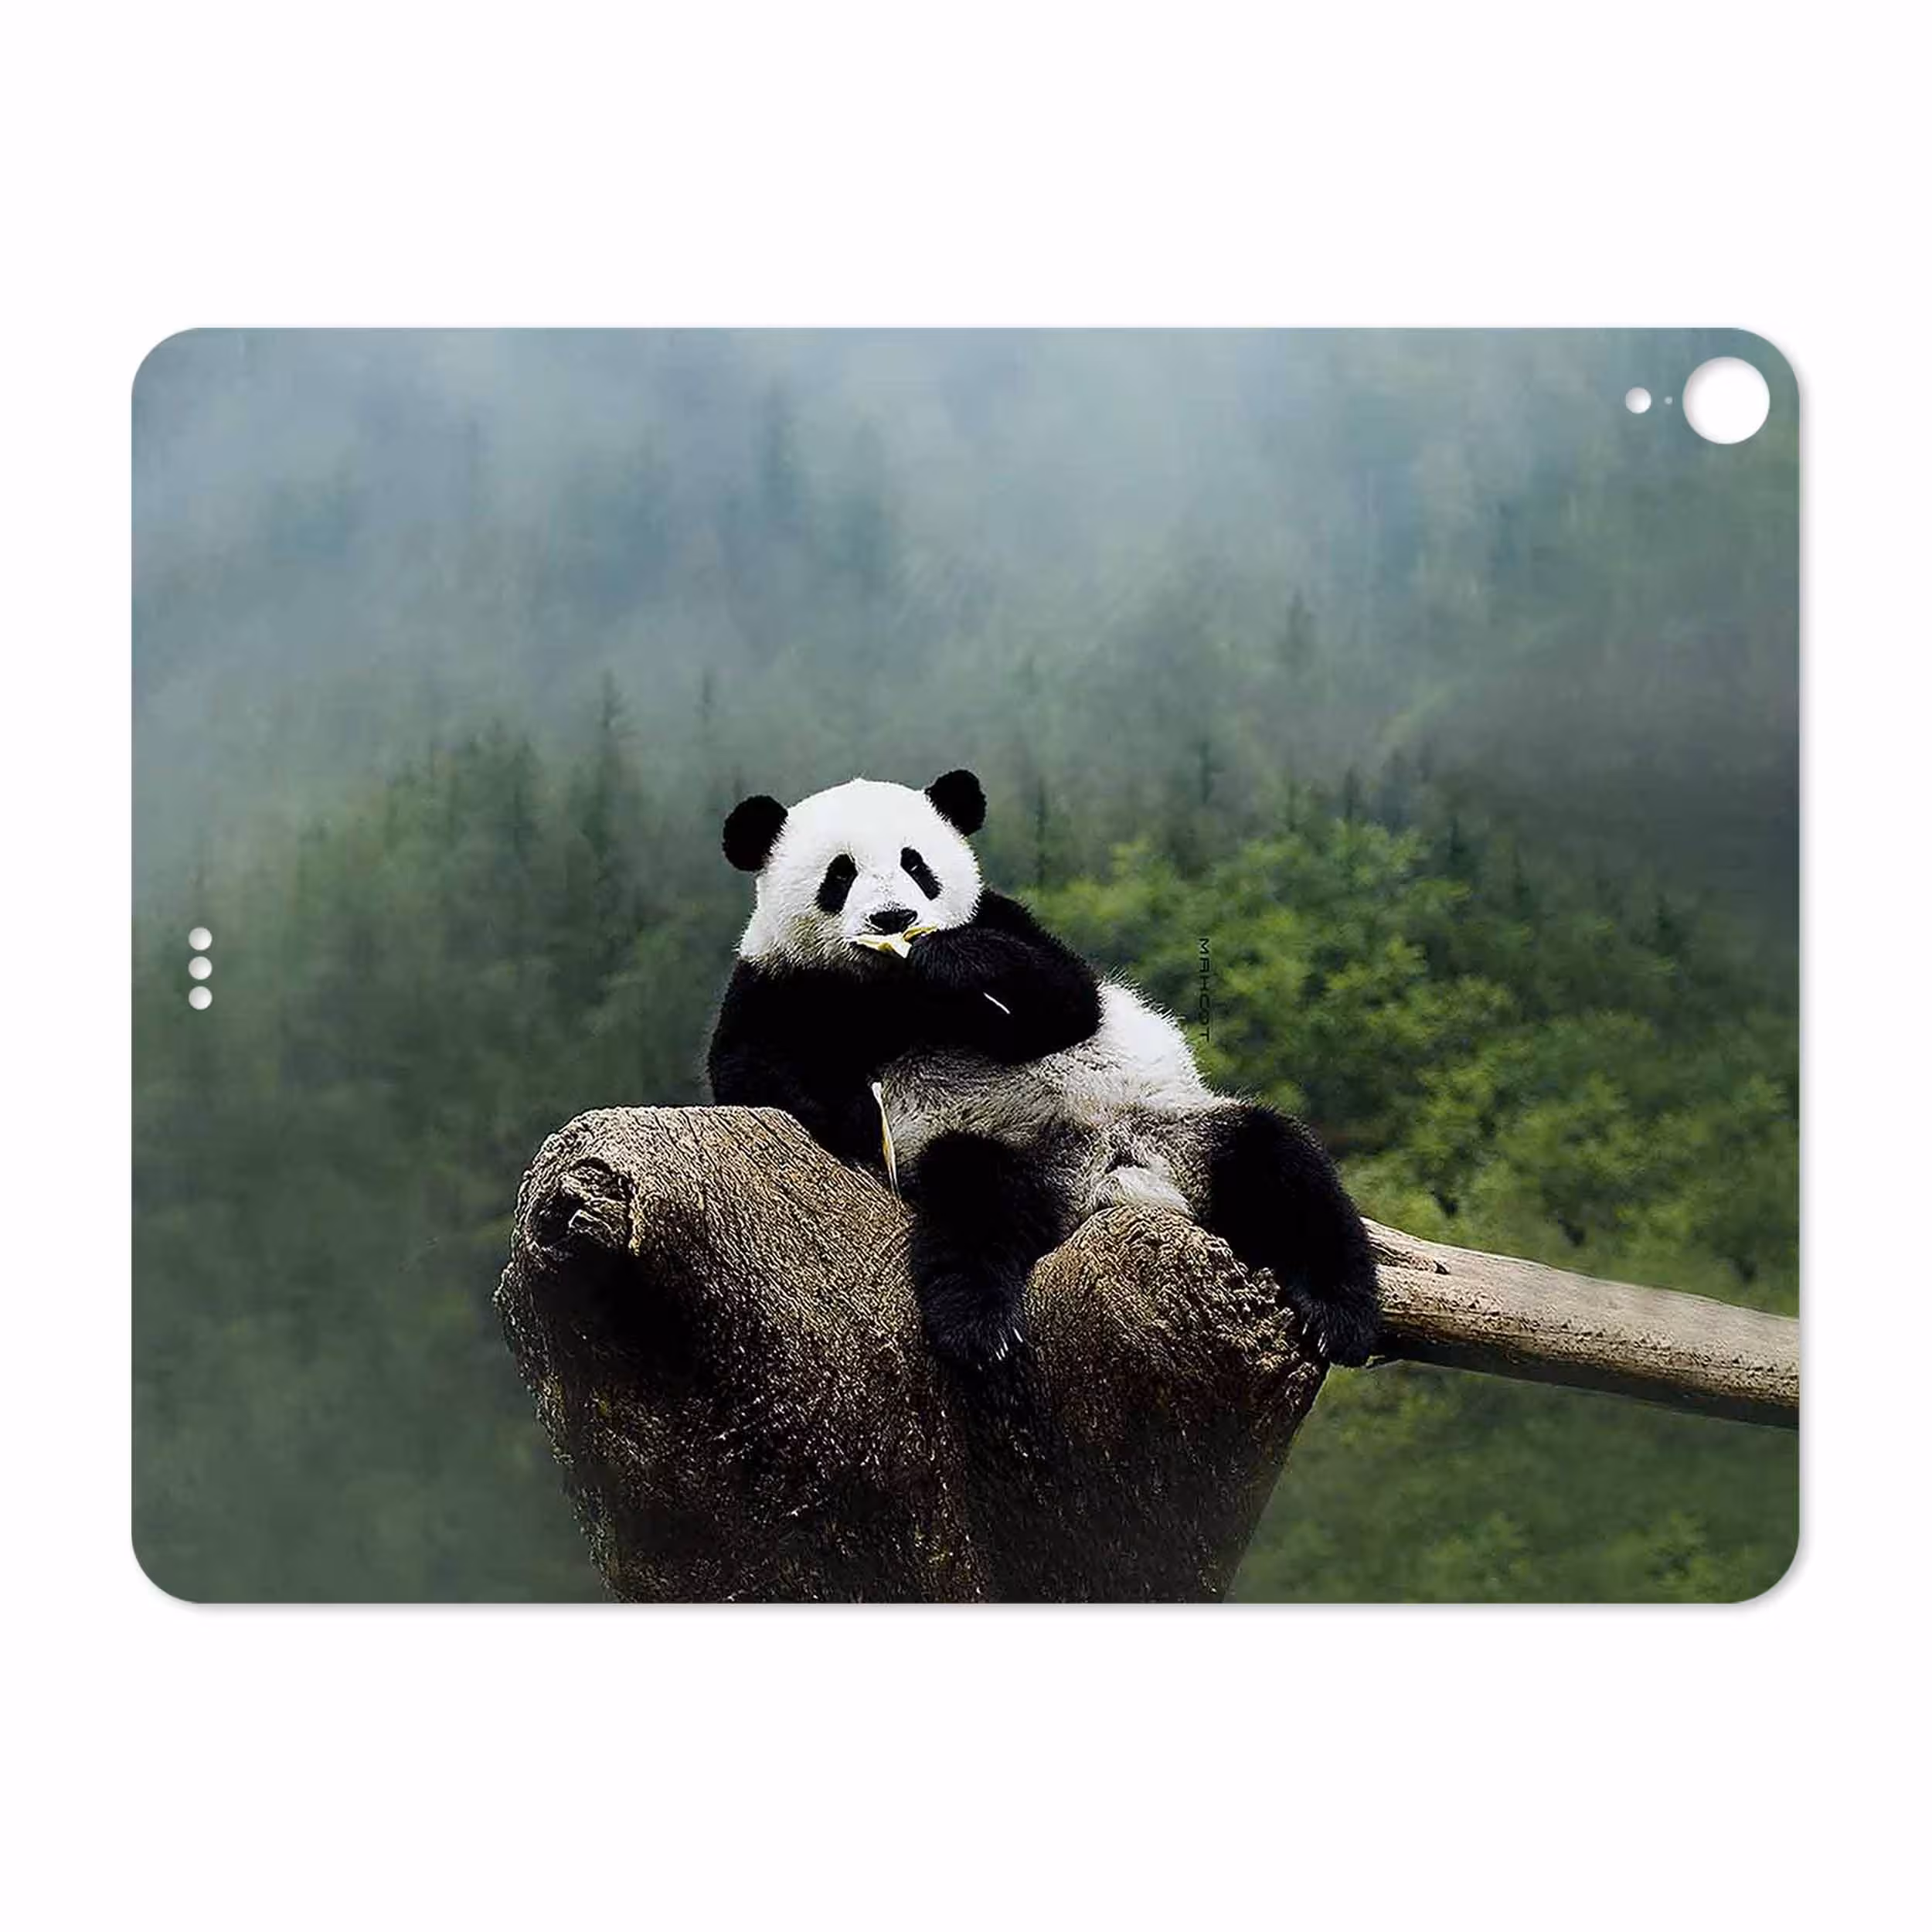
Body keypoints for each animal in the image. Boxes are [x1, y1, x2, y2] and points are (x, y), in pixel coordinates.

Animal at [706, 769, 1381, 1373]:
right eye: (840, 874)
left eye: (916, 865)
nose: (894, 919)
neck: (890, 989)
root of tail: (1107, 1176)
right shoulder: (777, 982)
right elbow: (748, 1071)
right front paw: (854, 1113)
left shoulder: (1003, 920)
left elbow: (1068, 1000)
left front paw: (950, 960)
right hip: (999, 1150)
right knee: (974, 1203)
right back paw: (979, 1328)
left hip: (1180, 1129)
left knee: (1283, 1165)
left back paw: (1339, 1315)